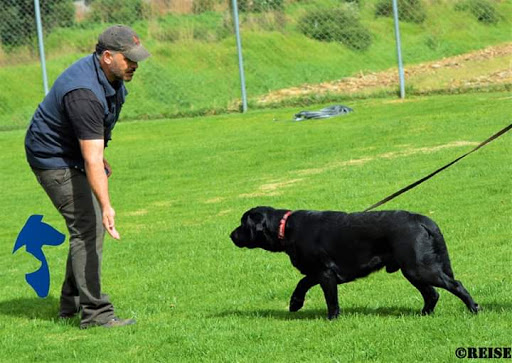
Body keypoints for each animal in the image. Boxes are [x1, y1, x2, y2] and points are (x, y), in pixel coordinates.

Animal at [232, 206, 480, 320]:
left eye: (243, 224)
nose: (230, 234)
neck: (286, 229)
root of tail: (421, 219)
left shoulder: (325, 273)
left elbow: (330, 299)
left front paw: (331, 318)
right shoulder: (318, 271)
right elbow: (302, 283)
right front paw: (295, 303)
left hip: (418, 268)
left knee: (455, 285)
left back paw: (473, 308)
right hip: (411, 270)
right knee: (432, 294)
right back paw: (424, 314)